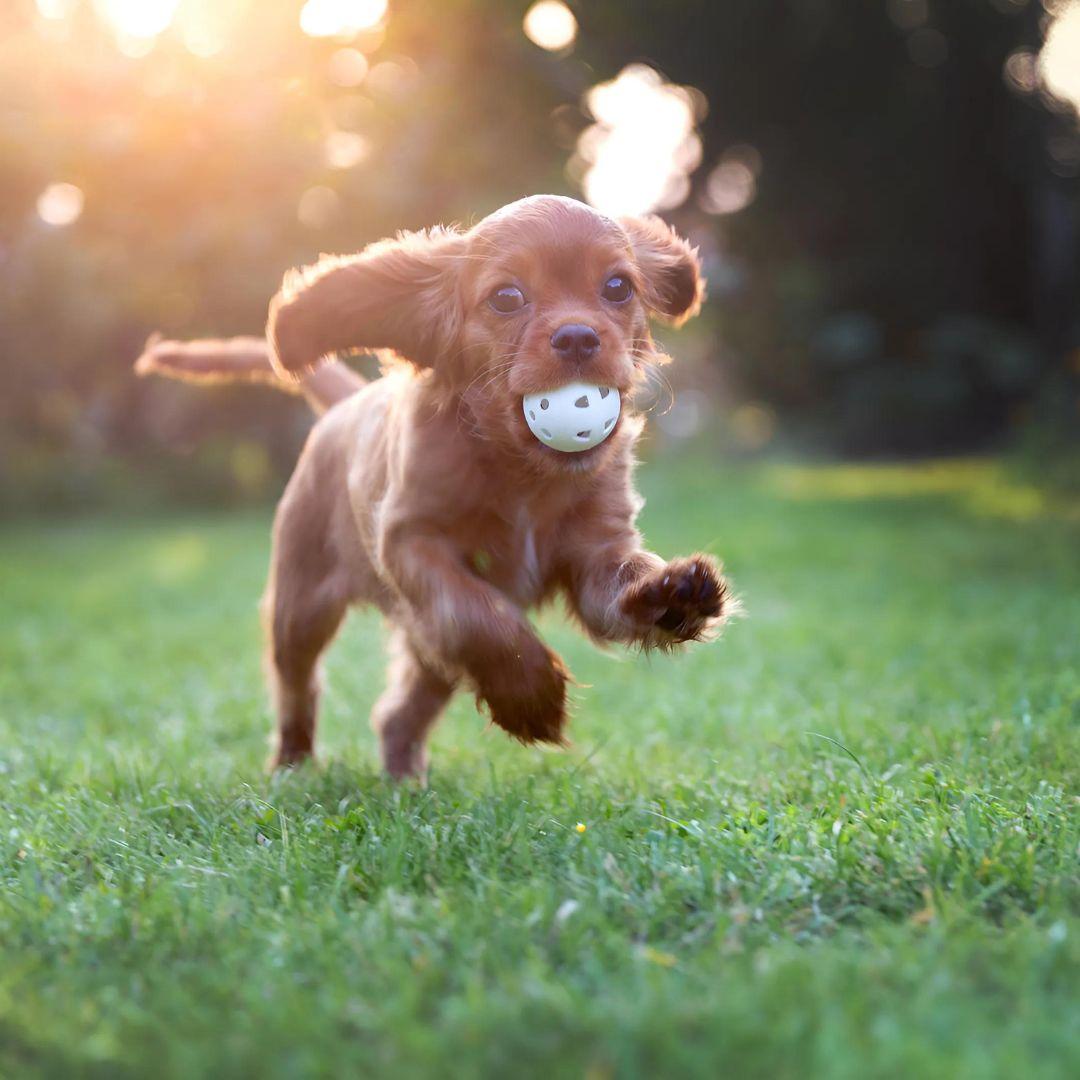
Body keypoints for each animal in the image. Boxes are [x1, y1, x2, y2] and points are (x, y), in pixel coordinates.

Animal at [135, 194, 725, 781]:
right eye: (507, 297)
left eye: (618, 287)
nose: (579, 336)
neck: (522, 473)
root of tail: (347, 403)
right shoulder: (411, 542)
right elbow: (476, 613)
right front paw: (529, 695)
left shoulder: (595, 552)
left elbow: (615, 590)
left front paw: (672, 595)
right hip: (300, 606)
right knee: (297, 686)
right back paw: (293, 766)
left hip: (422, 652)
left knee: (398, 712)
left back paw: (404, 782)